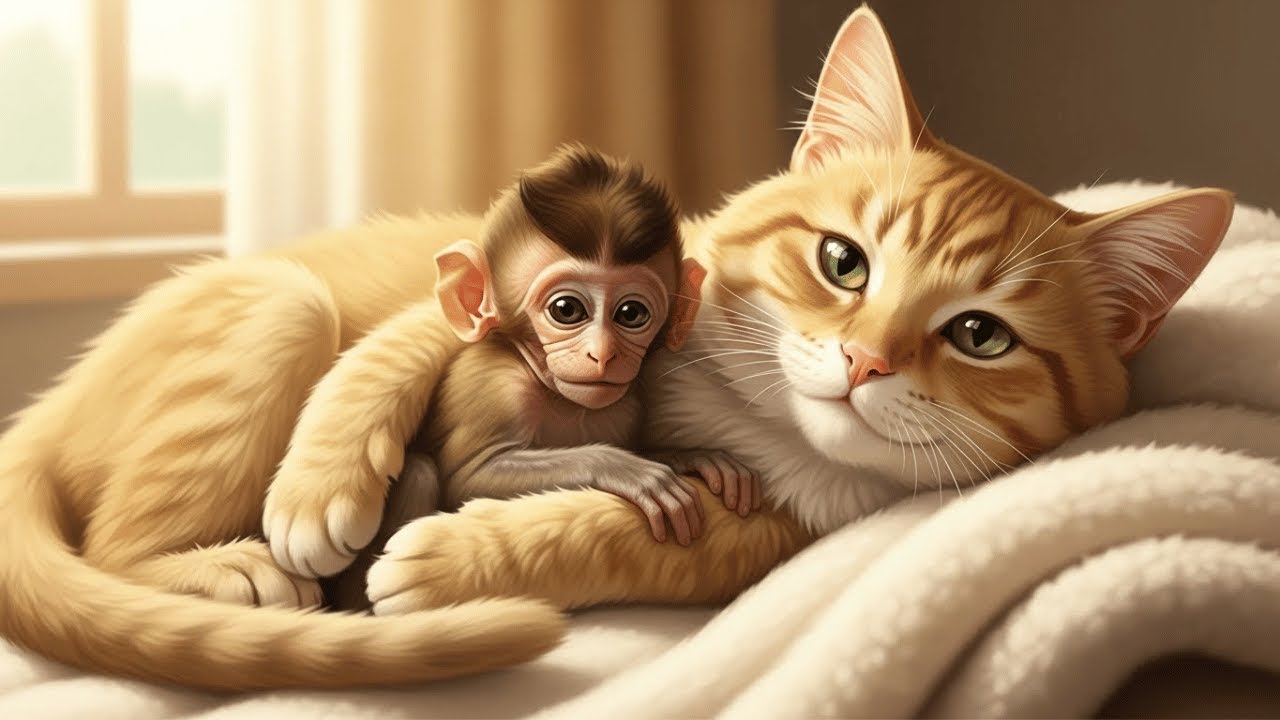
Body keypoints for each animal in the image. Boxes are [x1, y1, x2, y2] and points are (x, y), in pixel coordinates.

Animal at [324, 144, 762, 610]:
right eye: (566, 310)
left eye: (631, 314)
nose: (602, 353)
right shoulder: (494, 385)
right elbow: (468, 475)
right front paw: (624, 468)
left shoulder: (626, 405)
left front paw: (692, 457)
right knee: (422, 471)